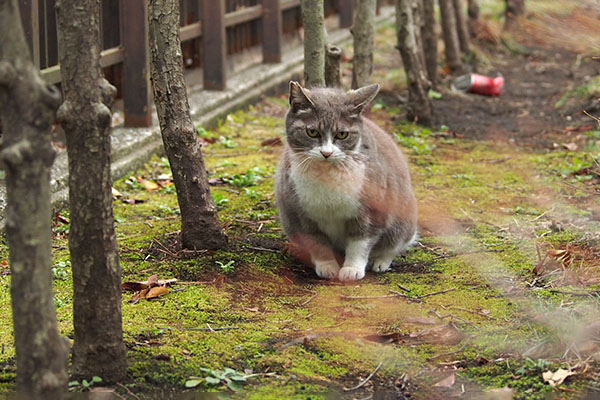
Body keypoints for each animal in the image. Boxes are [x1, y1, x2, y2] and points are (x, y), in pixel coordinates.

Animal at [276, 81, 418, 282]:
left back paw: (380, 261)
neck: (327, 176)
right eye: (312, 132)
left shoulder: (370, 211)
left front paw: (352, 269)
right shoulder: (301, 214)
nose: (326, 153)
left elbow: (360, 242)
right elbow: (317, 242)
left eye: (342, 134)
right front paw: (327, 266)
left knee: (396, 243)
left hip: (403, 216)